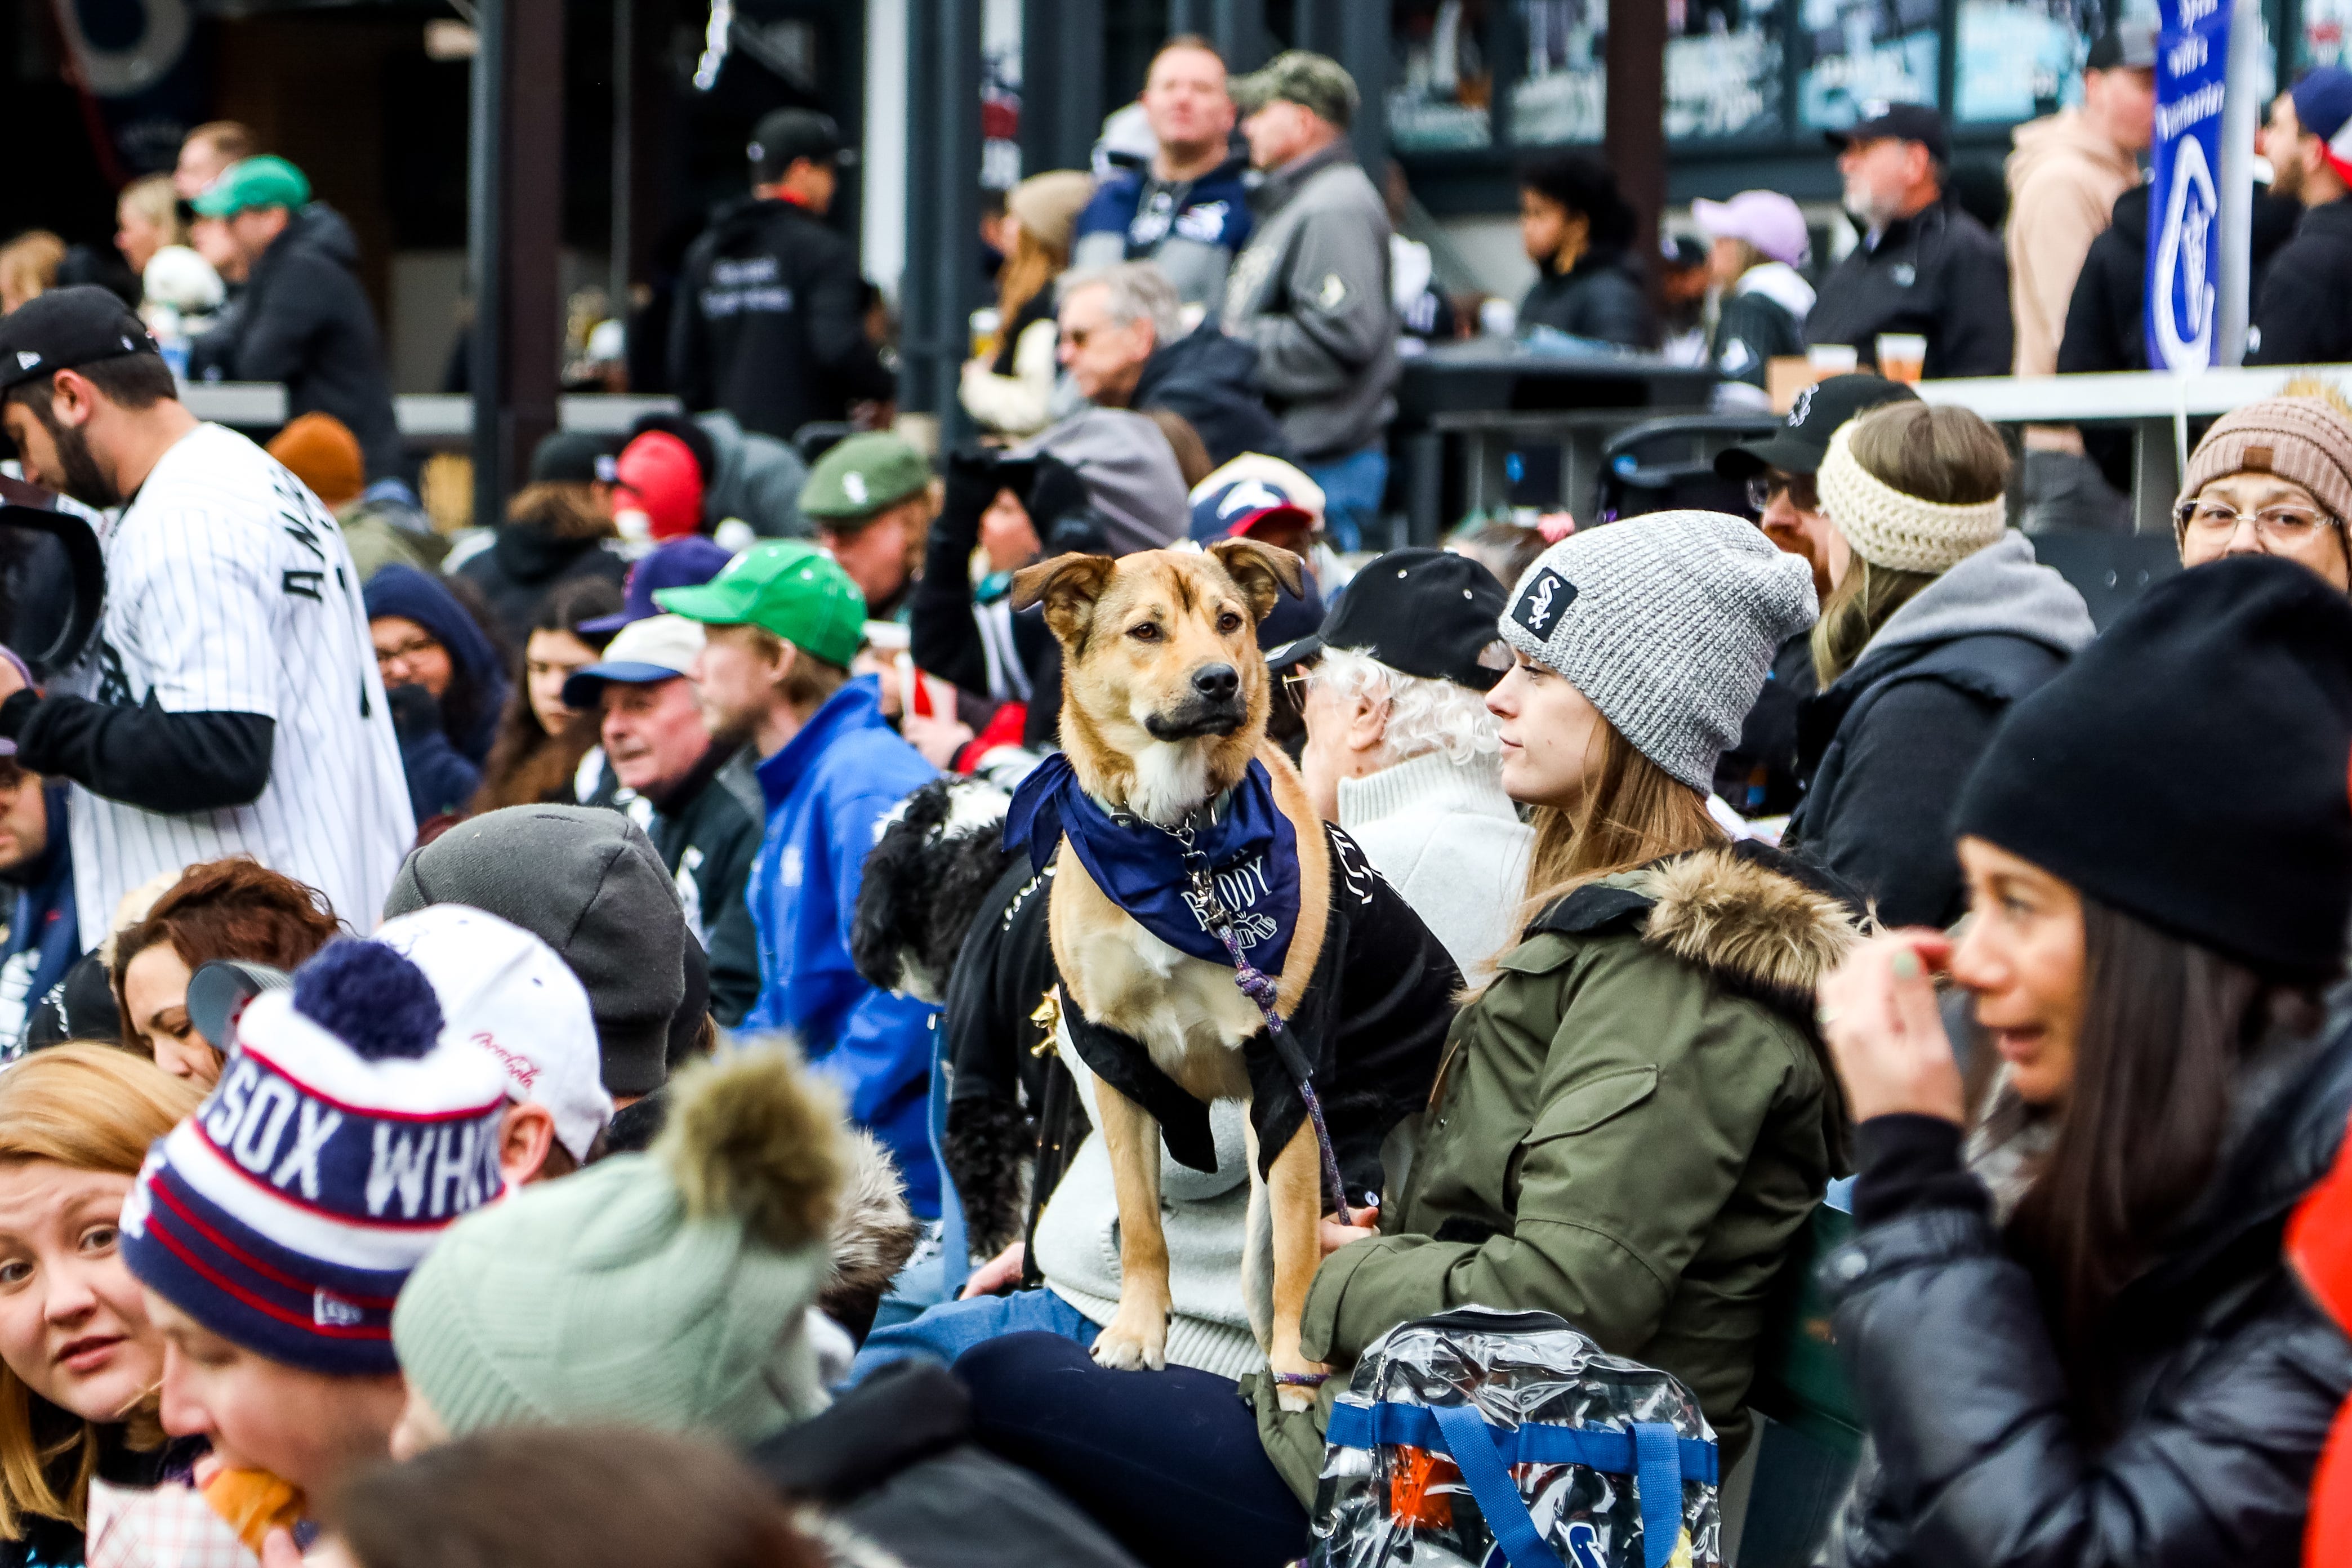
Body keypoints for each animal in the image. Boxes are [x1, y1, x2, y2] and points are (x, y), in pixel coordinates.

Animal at [1006, 541, 1345, 1410]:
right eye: (1147, 631)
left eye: (1229, 622)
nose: (1220, 681)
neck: (1177, 846)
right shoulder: (1117, 1059)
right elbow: (1140, 1222)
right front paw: (1136, 1331)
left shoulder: (1285, 1075)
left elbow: (1298, 1251)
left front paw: (1294, 1368)